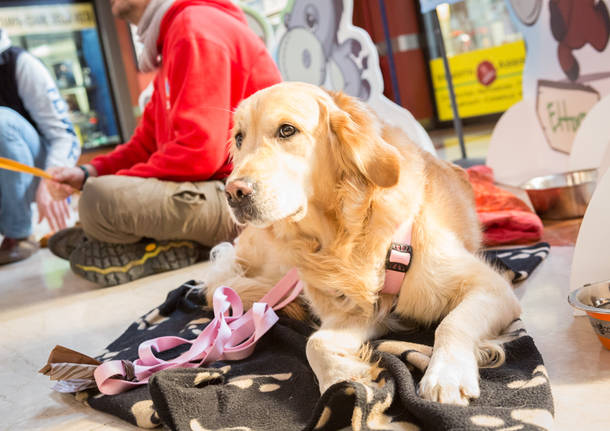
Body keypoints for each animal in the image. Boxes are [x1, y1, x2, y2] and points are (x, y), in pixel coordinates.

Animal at [202, 80, 520, 404]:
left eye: (287, 130)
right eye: (239, 138)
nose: (233, 192)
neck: (347, 233)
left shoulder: (493, 287)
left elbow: (452, 323)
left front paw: (446, 375)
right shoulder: (359, 313)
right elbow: (314, 343)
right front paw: (340, 378)